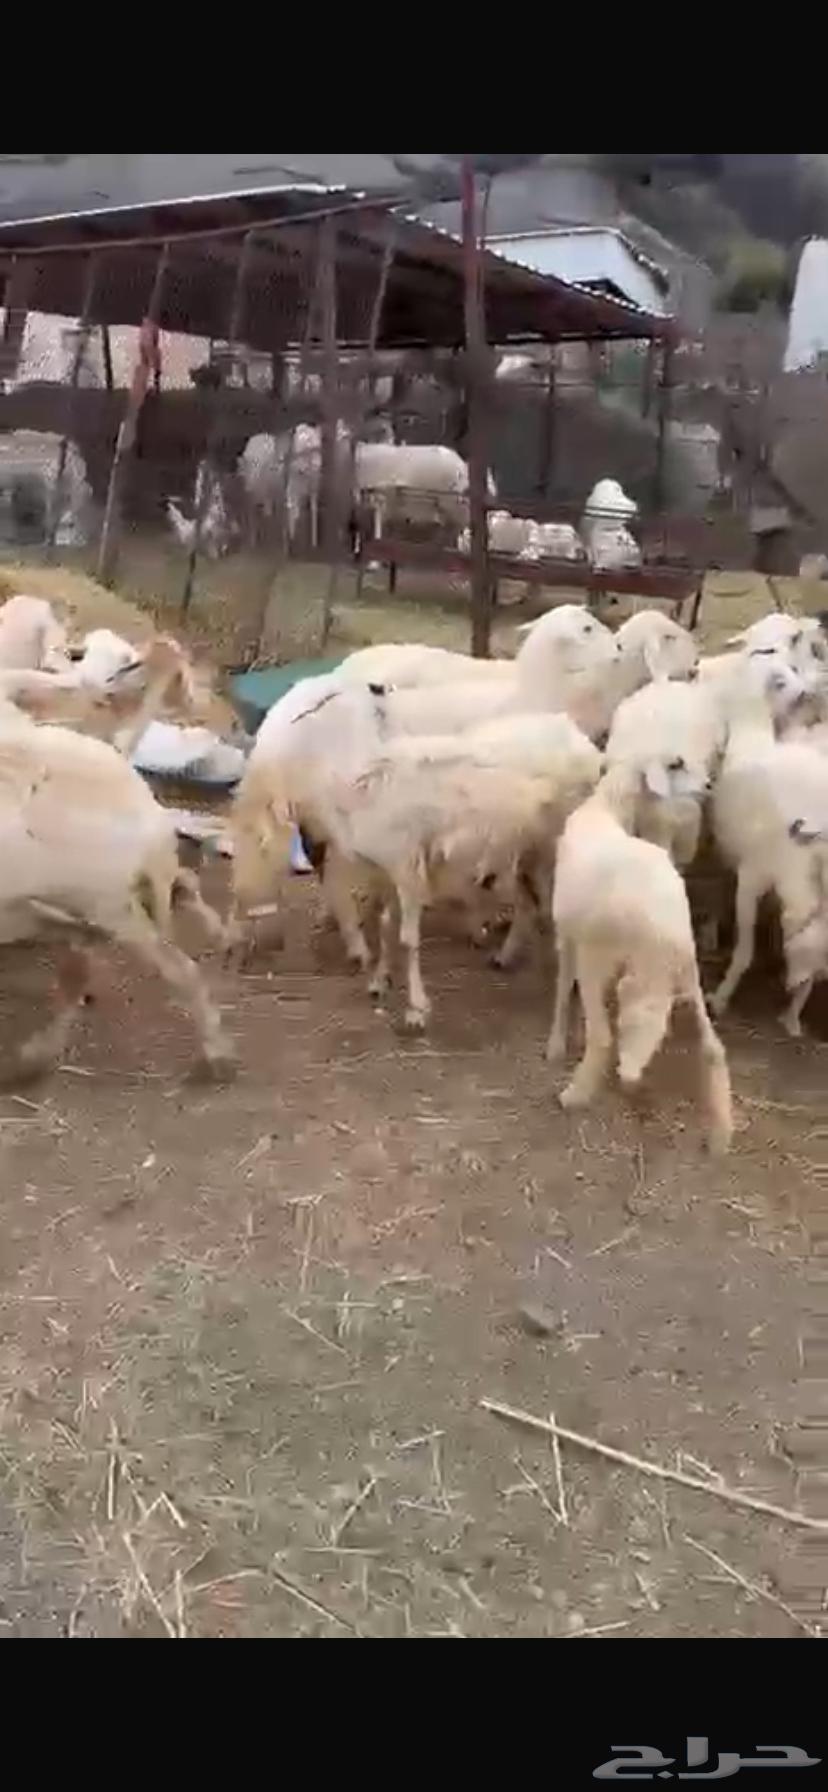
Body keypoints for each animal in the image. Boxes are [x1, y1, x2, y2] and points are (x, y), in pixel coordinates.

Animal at [545, 752, 733, 1154]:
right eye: (677, 764)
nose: (710, 785)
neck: (605, 810)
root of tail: (664, 929)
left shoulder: (566, 934)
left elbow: (562, 989)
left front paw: (554, 1045)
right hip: (686, 968)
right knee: (712, 1046)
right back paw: (721, 1133)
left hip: (600, 955)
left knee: (604, 1034)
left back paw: (576, 1093)